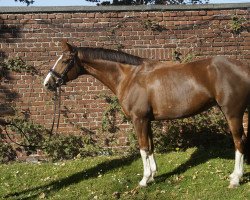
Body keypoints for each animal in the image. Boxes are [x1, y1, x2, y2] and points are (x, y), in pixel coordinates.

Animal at [44, 40, 250, 188]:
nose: (47, 83)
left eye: (64, 60)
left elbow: (142, 148)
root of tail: (244, 68)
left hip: (233, 114)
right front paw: (152, 175)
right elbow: (150, 146)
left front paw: (144, 180)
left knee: (239, 141)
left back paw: (235, 179)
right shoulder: (147, 120)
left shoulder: (139, 119)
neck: (129, 76)